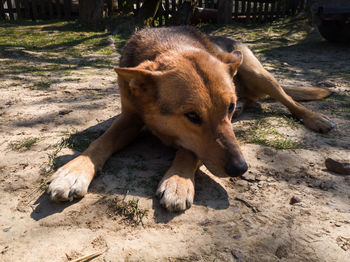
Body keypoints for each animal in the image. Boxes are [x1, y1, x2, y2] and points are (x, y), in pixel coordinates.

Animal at [47, 26, 334, 211]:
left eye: (228, 109)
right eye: (192, 116)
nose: (240, 169)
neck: (171, 44)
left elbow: (190, 150)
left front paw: (178, 181)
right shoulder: (130, 118)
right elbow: (101, 141)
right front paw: (74, 171)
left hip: (257, 73)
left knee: (287, 98)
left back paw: (316, 118)